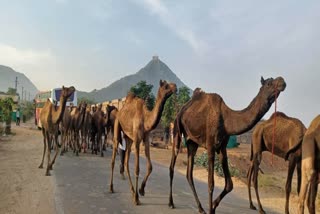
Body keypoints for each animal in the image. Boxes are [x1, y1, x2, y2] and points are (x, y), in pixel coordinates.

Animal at [169, 77, 286, 214]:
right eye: (269, 83)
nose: (282, 81)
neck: (226, 119)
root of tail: (183, 109)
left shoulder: (222, 147)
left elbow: (230, 184)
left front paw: (213, 206)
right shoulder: (210, 146)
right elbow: (211, 184)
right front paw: (211, 209)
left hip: (192, 142)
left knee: (189, 173)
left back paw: (200, 208)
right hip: (177, 129)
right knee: (172, 165)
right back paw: (171, 203)